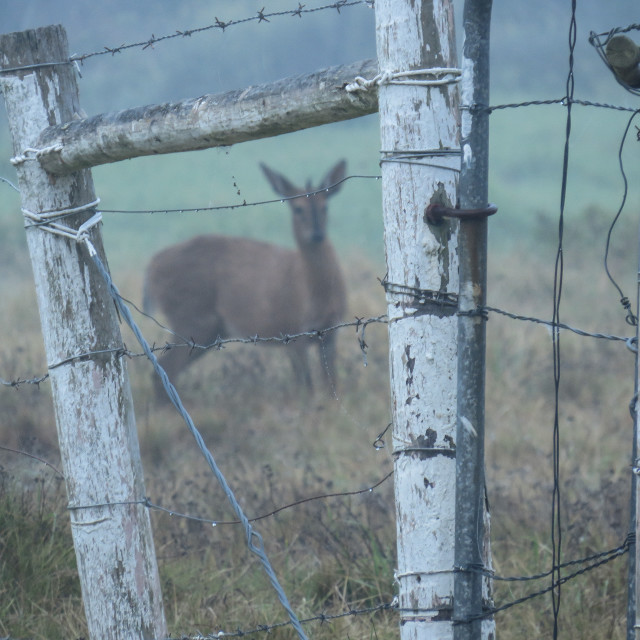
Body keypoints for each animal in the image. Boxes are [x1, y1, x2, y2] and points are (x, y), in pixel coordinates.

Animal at [142, 160, 348, 400]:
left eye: (325, 207)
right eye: (297, 209)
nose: (316, 234)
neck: (315, 293)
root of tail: (152, 266)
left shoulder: (331, 330)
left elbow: (332, 385)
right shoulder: (293, 328)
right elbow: (306, 386)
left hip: (209, 330)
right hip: (190, 316)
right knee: (165, 370)